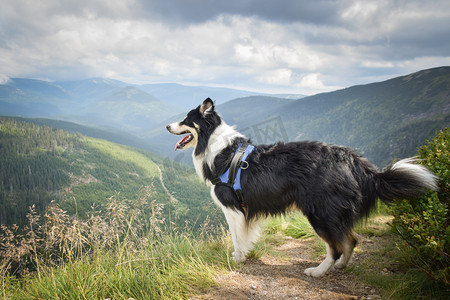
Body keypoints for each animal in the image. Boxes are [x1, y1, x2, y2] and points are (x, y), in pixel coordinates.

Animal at [167, 98, 438, 276]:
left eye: (186, 119)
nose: (167, 126)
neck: (214, 145)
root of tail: (352, 159)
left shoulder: (232, 209)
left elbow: (237, 238)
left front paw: (237, 258)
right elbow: (246, 236)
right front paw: (243, 255)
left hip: (320, 212)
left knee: (337, 246)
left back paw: (318, 271)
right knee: (351, 240)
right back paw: (340, 267)